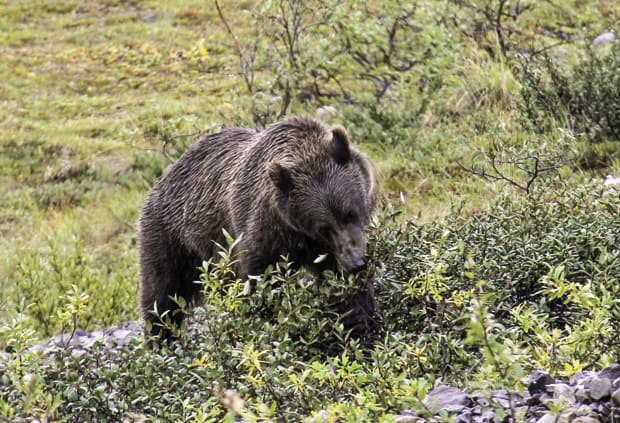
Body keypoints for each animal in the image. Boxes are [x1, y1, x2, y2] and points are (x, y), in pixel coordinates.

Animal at [138, 117, 376, 342]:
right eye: (324, 227)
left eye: (350, 213)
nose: (356, 263)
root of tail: (163, 177)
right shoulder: (265, 230)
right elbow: (260, 281)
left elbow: (339, 283)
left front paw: (356, 318)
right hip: (172, 238)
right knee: (162, 294)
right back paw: (161, 340)